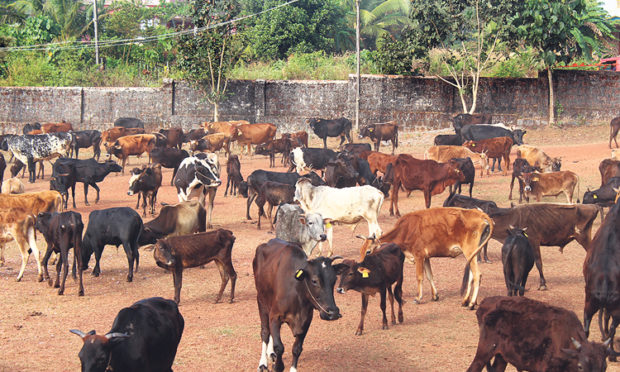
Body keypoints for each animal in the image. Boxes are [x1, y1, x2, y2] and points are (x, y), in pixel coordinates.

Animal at [252, 238, 342, 372]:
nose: (333, 313)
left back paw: (271, 353)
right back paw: (263, 363)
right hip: (261, 301)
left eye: (334, 279)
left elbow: (297, 349)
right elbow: (279, 346)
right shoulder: (275, 316)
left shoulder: (306, 321)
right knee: (265, 332)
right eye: (314, 280)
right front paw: (278, 366)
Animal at [358, 206, 494, 308]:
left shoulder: (419, 256)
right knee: (472, 275)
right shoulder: (426, 257)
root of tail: (479, 213)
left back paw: (471, 303)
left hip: (469, 251)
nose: (360, 266)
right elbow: (429, 276)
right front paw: (435, 296)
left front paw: (418, 298)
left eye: (368, 251)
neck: (406, 229)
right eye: (361, 251)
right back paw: (467, 300)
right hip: (473, 254)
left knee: (477, 275)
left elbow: (419, 277)